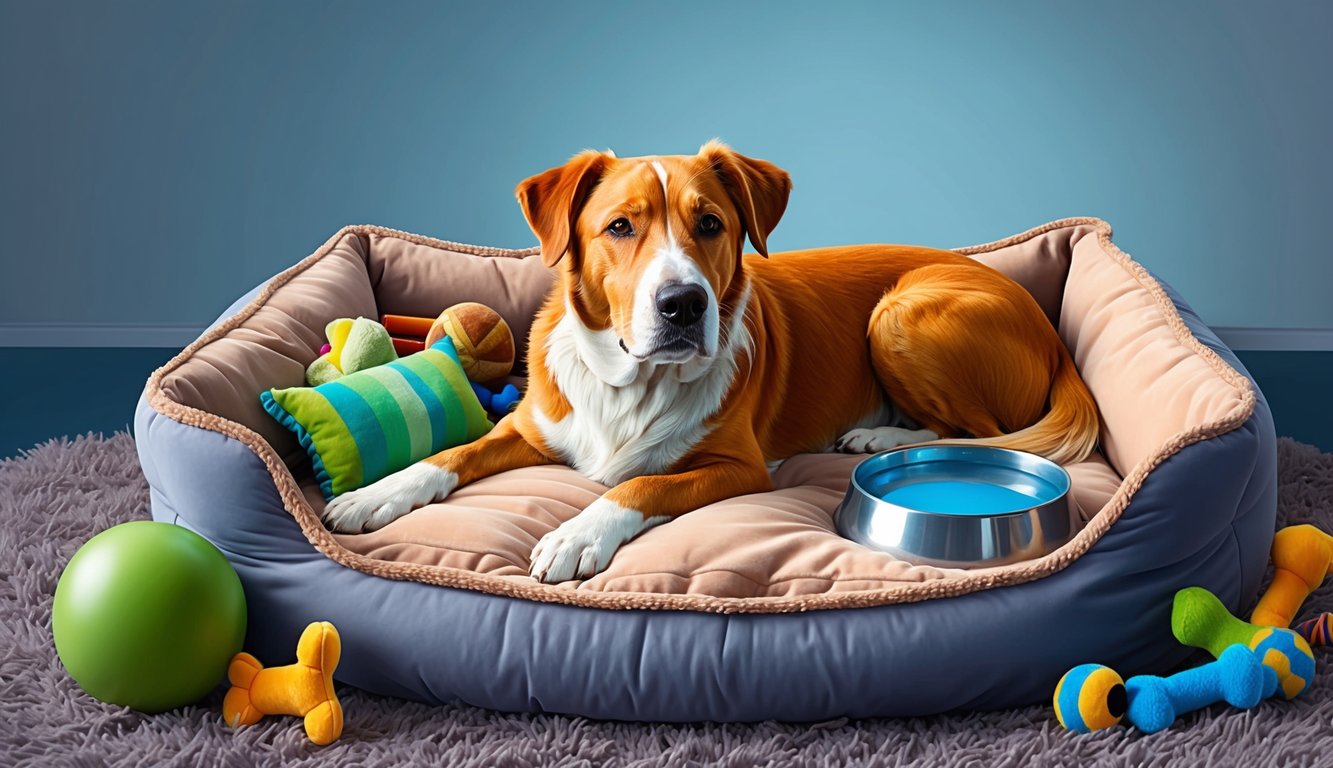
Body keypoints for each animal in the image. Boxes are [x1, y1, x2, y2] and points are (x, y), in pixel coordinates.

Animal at [319, 141, 1093, 581]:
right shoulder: (530, 429)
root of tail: (1049, 333)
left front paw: (576, 532)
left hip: (899, 313)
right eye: (619, 226)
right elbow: (450, 456)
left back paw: (881, 435)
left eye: (711, 224)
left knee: (982, 431)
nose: (684, 305)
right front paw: (376, 493)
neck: (633, 383)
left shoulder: (738, 468)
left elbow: (637, 485)